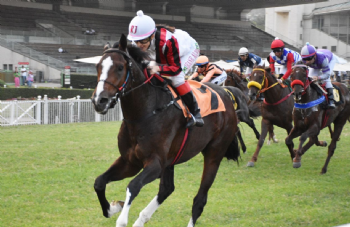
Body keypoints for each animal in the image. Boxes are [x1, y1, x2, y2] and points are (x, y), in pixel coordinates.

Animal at [91, 34, 242, 227]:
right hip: (171, 160)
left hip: (214, 154)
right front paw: (114, 207)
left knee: (199, 199)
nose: (99, 101)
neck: (144, 114)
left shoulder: (155, 163)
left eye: (119, 67)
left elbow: (133, 186)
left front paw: (122, 218)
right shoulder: (130, 161)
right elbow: (99, 182)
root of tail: (227, 97)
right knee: (167, 189)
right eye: (98, 66)